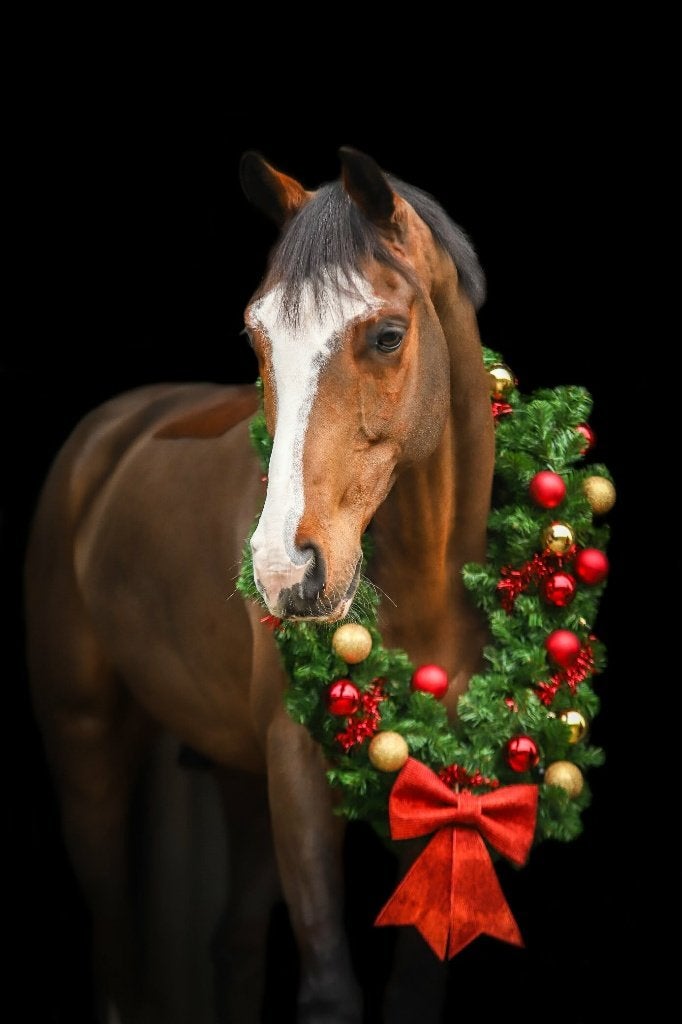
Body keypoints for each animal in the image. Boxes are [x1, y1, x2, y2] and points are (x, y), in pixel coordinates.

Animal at [24, 147, 495, 1023]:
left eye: (388, 334)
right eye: (257, 335)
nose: (284, 571)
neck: (425, 591)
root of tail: (110, 434)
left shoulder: (447, 787)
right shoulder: (297, 764)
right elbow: (330, 988)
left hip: (239, 778)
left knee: (234, 943)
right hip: (88, 751)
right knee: (117, 949)